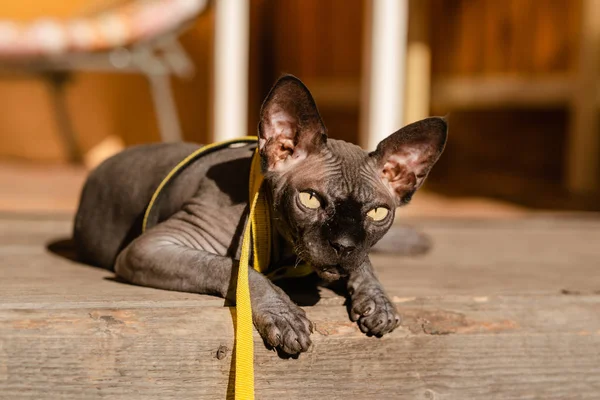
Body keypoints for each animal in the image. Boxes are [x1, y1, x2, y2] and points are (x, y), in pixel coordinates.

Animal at [72, 74, 448, 354]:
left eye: (378, 213)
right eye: (310, 199)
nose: (343, 245)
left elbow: (364, 261)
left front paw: (377, 300)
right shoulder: (150, 247)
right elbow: (234, 267)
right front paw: (282, 314)